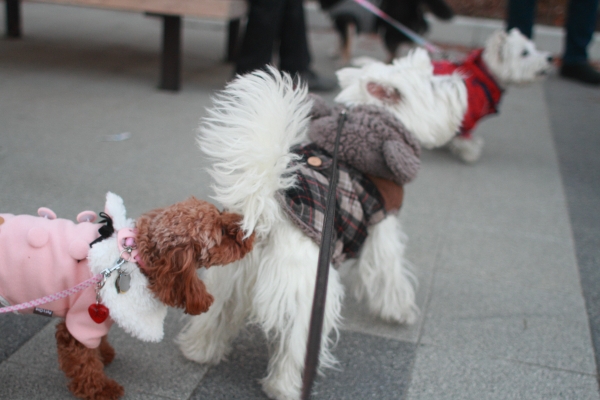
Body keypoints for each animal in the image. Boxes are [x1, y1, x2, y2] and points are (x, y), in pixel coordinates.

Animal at [176, 57, 466, 400]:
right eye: (433, 83)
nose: (459, 81)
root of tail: (266, 214)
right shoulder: (382, 225)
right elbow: (390, 273)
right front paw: (401, 312)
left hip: (228, 278)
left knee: (214, 317)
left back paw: (198, 352)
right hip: (308, 296)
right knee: (295, 346)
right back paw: (287, 387)